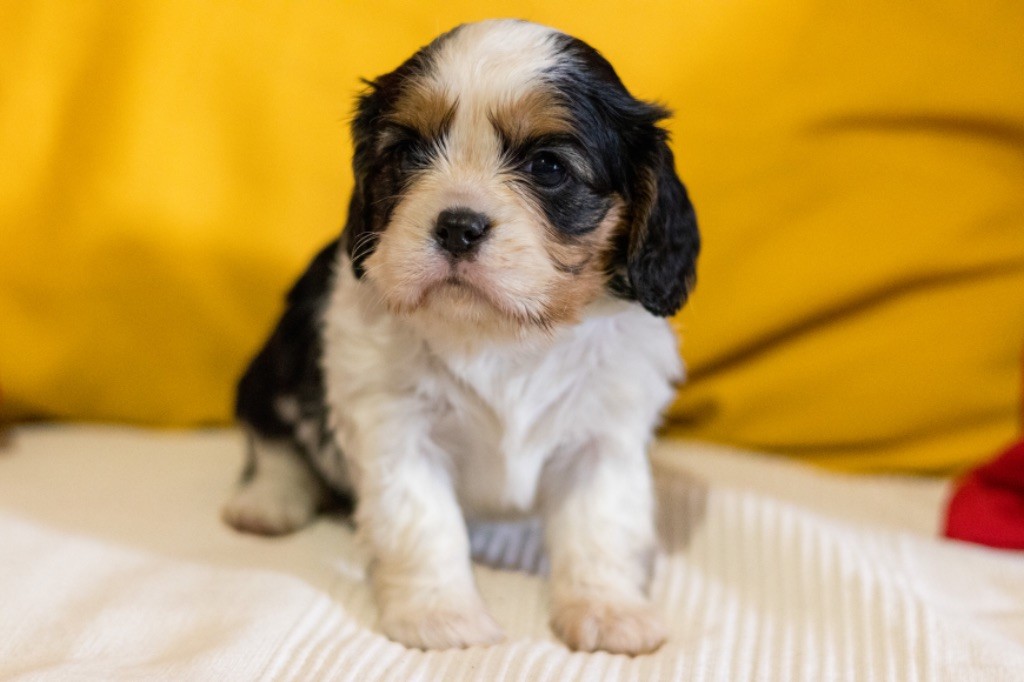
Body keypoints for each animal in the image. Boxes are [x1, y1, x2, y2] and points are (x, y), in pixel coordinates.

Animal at [223, 17, 700, 655]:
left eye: (549, 167)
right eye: (406, 153)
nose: (457, 226)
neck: (502, 333)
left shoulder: (604, 437)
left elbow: (599, 525)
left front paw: (607, 609)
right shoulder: (397, 427)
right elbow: (422, 524)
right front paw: (440, 616)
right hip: (272, 364)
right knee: (272, 440)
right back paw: (267, 502)